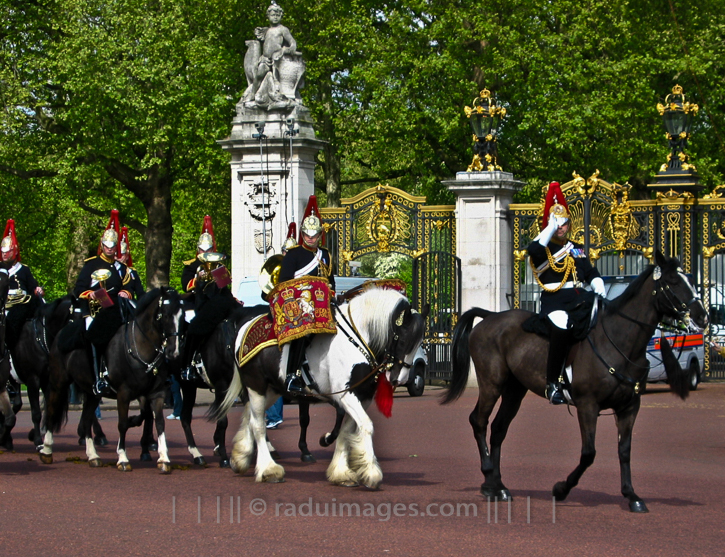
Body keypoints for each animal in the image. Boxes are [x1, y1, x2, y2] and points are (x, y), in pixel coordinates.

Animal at [43, 286, 182, 474]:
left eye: (182, 315)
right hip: (59, 383)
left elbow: (159, 423)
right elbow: (122, 424)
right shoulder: (124, 393)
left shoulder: (156, 393)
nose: (173, 352)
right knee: (51, 411)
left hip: (92, 393)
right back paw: (46, 450)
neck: (140, 346)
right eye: (166, 315)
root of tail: (61, 333)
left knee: (86, 420)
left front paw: (164, 459)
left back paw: (93, 456)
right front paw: (123, 458)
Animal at [215, 286, 428, 486]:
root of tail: (245, 326)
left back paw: (240, 457)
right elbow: (366, 425)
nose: (399, 379)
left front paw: (340, 472)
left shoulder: (363, 396)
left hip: (272, 390)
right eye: (402, 340)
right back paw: (268, 469)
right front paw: (371, 472)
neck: (357, 339)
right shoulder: (347, 395)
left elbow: (345, 431)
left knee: (249, 415)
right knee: (258, 424)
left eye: (419, 342)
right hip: (256, 386)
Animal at [442, 252, 708, 512]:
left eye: (691, 281)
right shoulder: (587, 405)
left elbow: (624, 451)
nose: (703, 317)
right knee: (479, 421)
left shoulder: (629, 406)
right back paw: (489, 478)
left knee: (498, 429)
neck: (620, 342)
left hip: (515, 389)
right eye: (673, 282)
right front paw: (561, 489)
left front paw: (631, 495)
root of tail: (491, 316)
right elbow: (589, 453)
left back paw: (498, 486)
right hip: (492, 383)